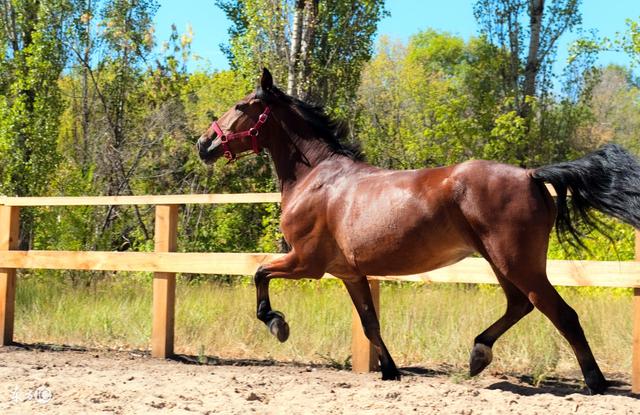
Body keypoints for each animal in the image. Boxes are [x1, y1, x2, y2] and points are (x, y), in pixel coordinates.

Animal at [196, 67, 640, 394]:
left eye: (242, 105)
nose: (204, 145)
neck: (315, 177)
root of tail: (532, 175)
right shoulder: (350, 273)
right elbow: (370, 323)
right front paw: (391, 371)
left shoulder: (307, 262)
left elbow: (259, 274)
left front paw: (278, 324)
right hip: (501, 262)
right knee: (520, 305)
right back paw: (478, 356)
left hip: (518, 262)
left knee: (561, 312)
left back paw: (596, 383)